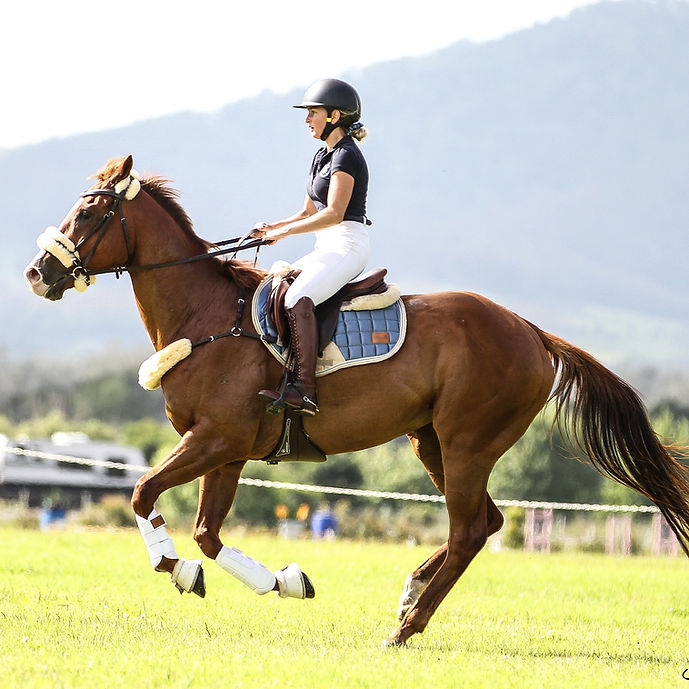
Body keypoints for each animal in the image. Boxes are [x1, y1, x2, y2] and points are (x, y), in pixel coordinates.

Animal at [21, 155, 688, 644]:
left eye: (89, 210)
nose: (36, 274)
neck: (207, 317)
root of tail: (531, 331)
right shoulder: (227, 450)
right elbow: (208, 533)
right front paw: (284, 580)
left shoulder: (215, 438)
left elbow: (142, 493)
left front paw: (178, 569)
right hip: (430, 441)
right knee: (488, 522)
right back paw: (412, 592)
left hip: (468, 442)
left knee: (471, 528)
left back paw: (408, 627)